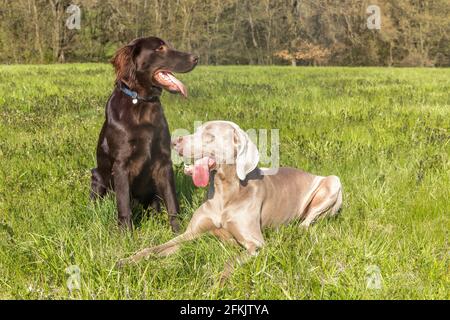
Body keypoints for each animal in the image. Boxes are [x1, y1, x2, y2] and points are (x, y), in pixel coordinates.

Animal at [90, 37, 198, 231]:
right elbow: (123, 204)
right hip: (96, 175)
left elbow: (172, 201)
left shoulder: (163, 162)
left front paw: (178, 231)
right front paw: (126, 235)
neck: (141, 102)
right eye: (160, 48)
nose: (196, 58)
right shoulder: (121, 164)